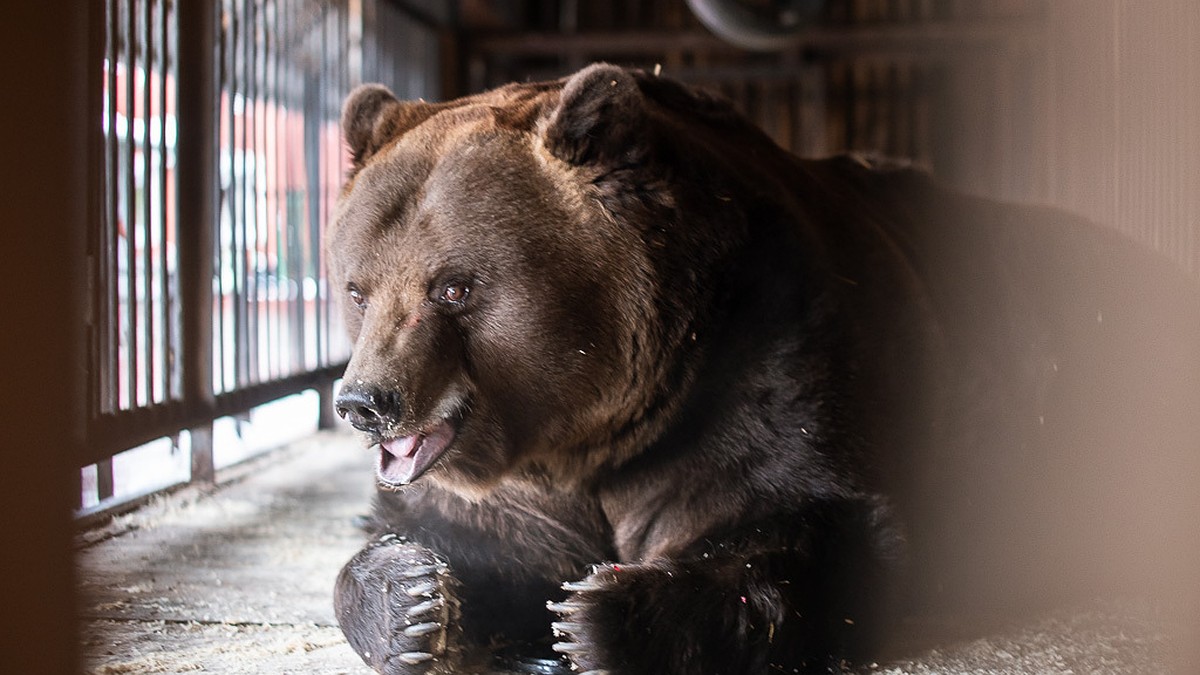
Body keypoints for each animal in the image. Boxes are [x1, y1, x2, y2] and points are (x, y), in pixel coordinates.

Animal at [326, 64, 1200, 672]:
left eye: (453, 285)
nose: (366, 400)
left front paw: (600, 615)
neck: (599, 427)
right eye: (357, 287)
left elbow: (796, 527)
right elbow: (464, 536)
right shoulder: (524, 480)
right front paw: (413, 600)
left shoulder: (765, 366)